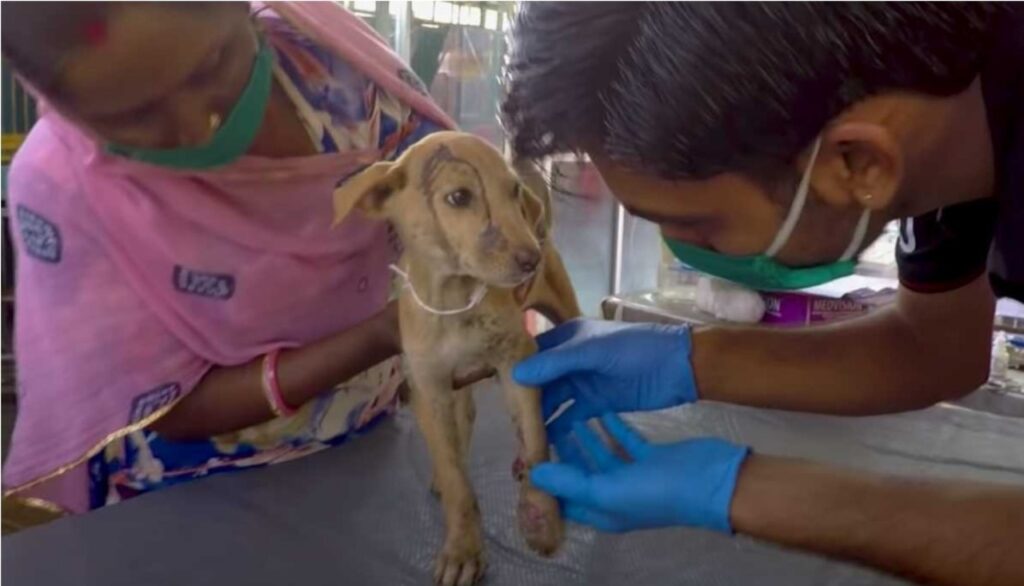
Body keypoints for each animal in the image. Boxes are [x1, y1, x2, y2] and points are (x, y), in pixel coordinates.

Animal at [331, 130, 581, 581]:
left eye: (512, 191)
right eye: (459, 197)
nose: (531, 258)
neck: (456, 299)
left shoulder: (517, 361)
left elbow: (535, 438)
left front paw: (541, 519)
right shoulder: (429, 386)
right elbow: (454, 476)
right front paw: (463, 548)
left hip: (564, 309)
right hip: (452, 387)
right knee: (461, 426)